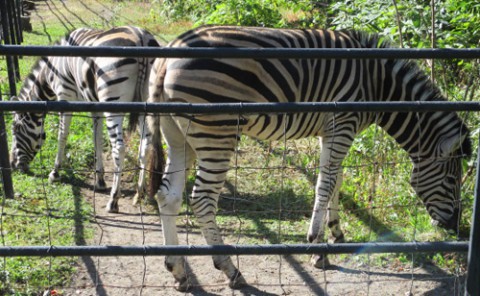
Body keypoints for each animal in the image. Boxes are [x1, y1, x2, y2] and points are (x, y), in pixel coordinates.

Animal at [10, 26, 160, 213]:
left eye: (16, 130)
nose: (13, 165)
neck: (51, 70)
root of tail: (140, 37)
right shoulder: (95, 105)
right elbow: (97, 139)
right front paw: (100, 179)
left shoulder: (64, 96)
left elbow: (62, 136)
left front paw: (55, 173)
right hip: (145, 104)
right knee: (145, 146)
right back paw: (140, 194)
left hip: (113, 103)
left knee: (119, 148)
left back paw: (113, 201)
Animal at [145, 26, 468, 292]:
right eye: (452, 179)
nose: (456, 227)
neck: (378, 85)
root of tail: (169, 52)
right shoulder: (342, 123)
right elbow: (326, 183)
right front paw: (317, 247)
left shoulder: (334, 130)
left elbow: (337, 179)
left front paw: (336, 232)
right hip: (217, 133)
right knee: (202, 200)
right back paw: (230, 269)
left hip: (177, 135)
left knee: (168, 197)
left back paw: (178, 270)